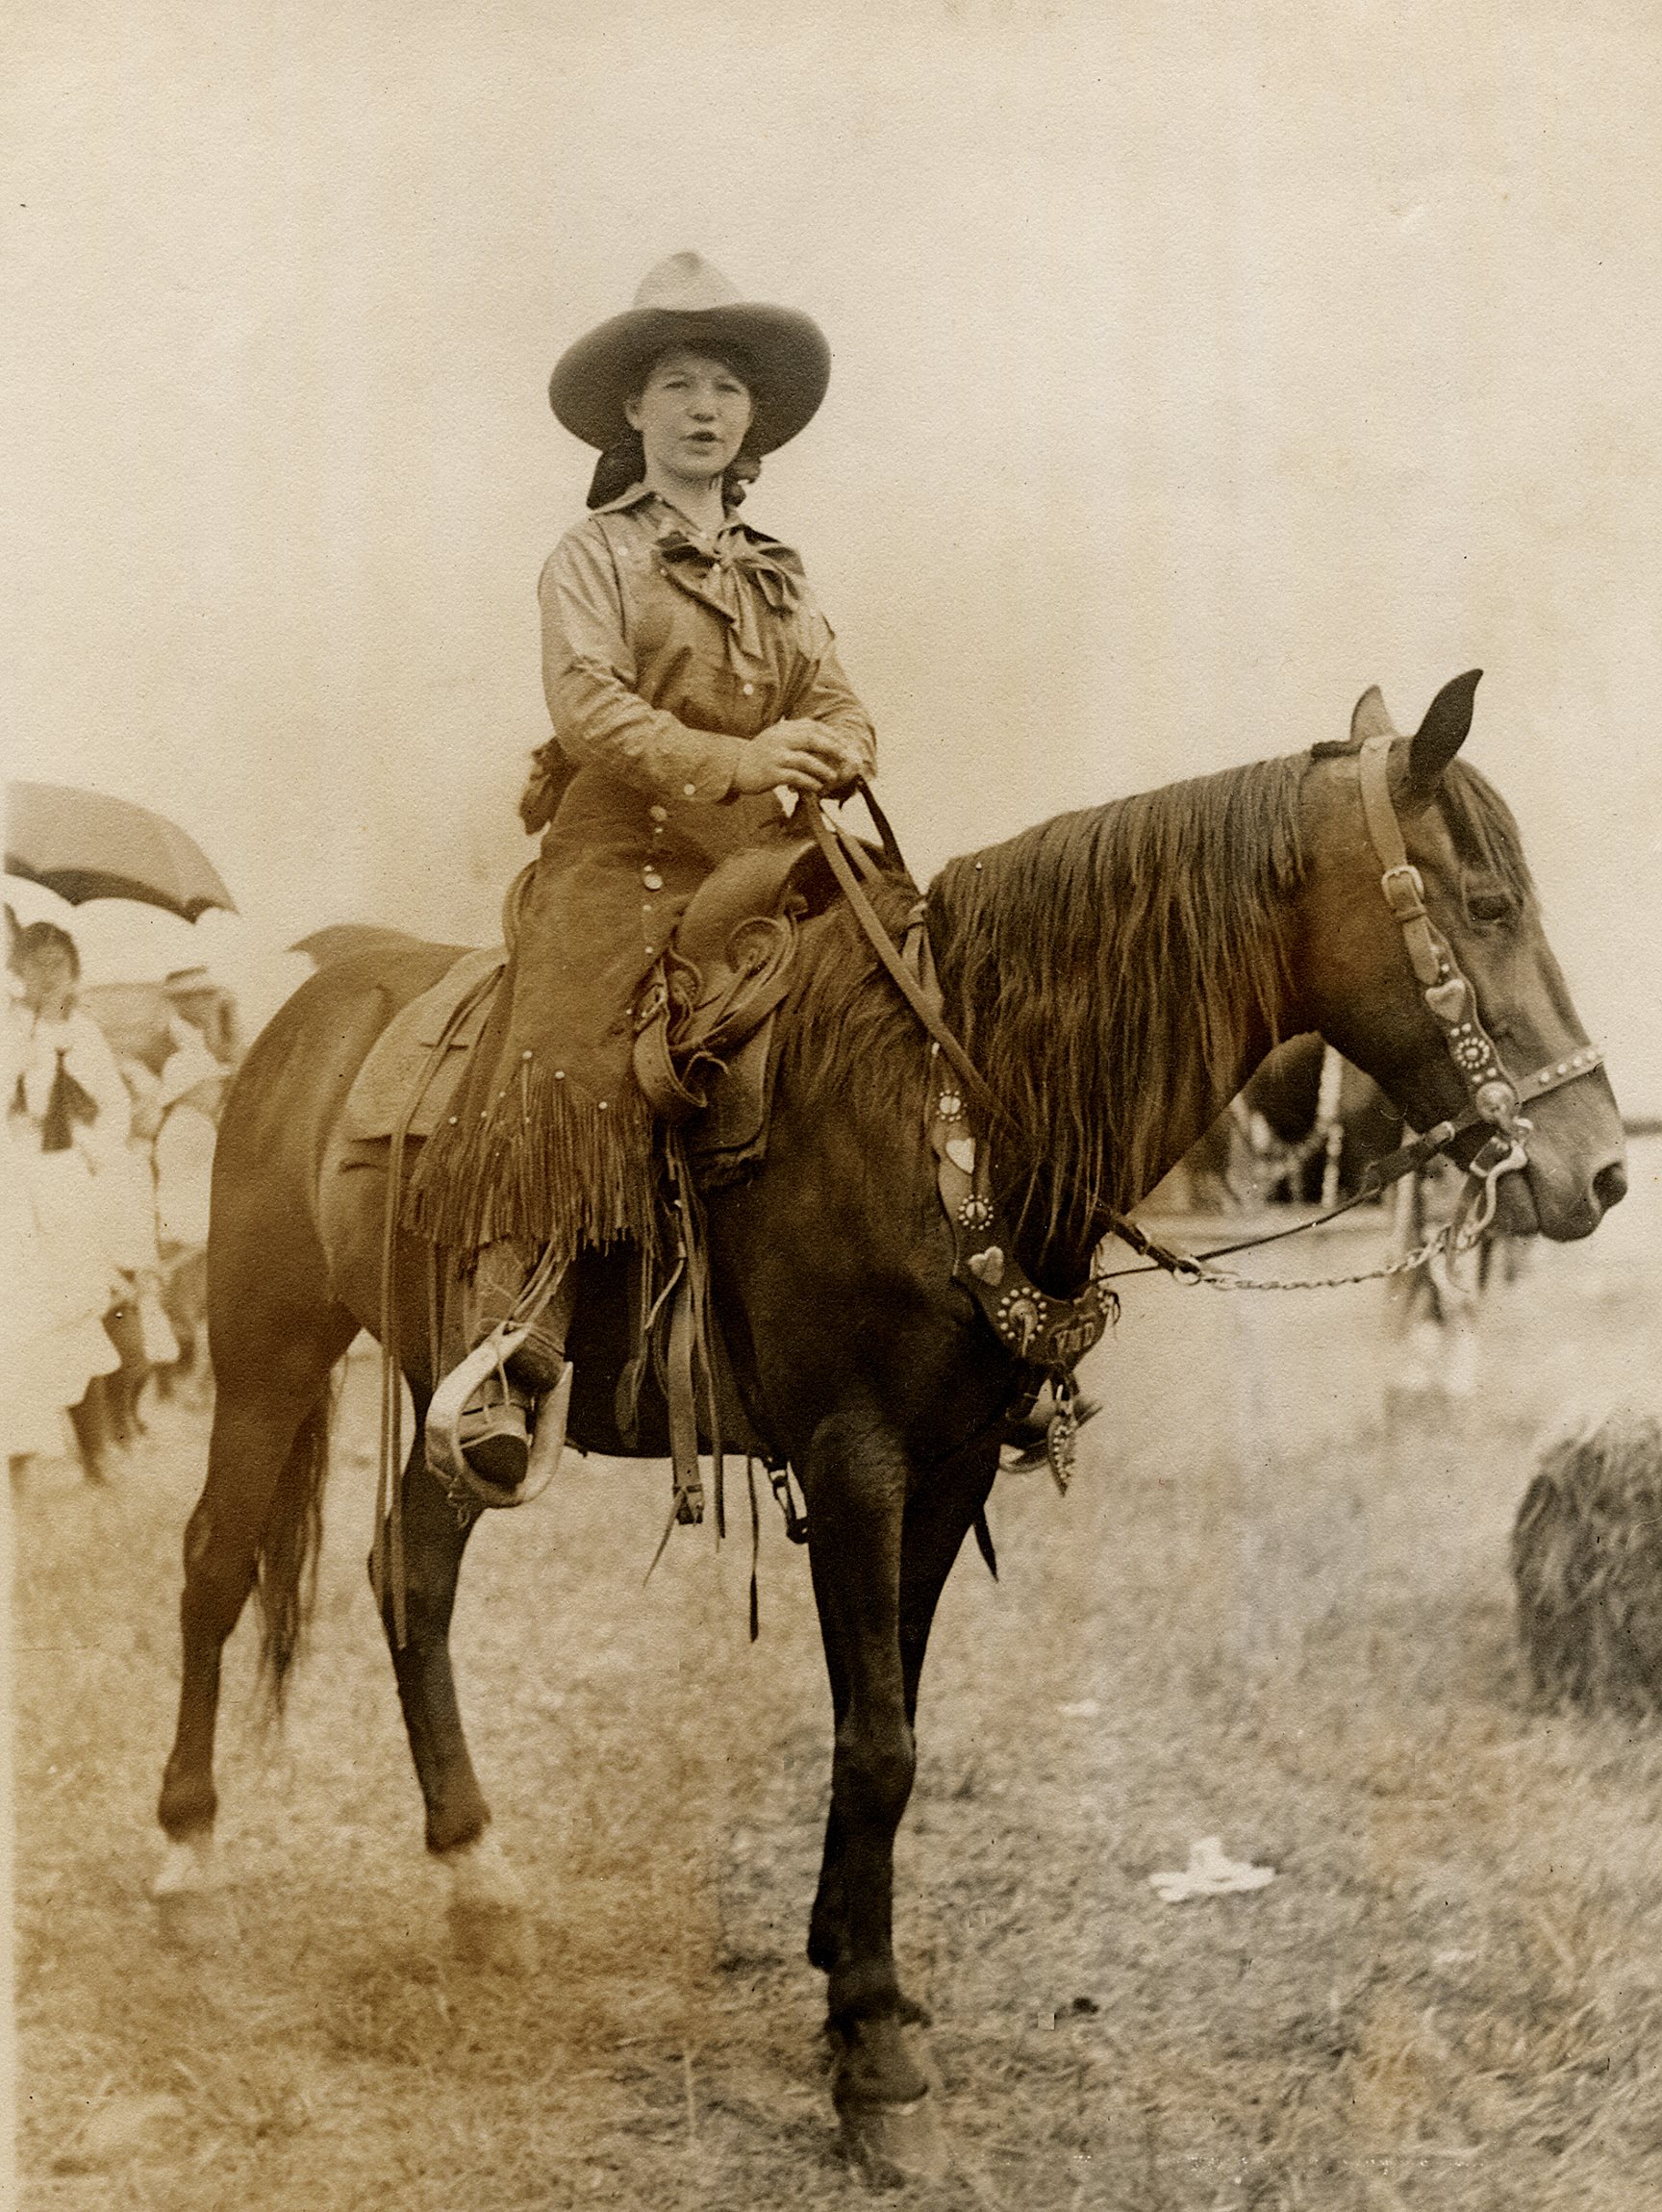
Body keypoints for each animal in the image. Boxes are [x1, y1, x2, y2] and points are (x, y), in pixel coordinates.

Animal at [152, 676, 1628, 2176]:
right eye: (1487, 902)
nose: (1604, 1171)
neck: (946, 1102)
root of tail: (302, 1012)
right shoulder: (855, 1460)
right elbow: (879, 1744)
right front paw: (873, 2051)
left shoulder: (948, 1463)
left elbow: (887, 1713)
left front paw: (850, 1972)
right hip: (266, 1351)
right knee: (217, 1566)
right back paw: (187, 1864)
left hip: (454, 1406)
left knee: (412, 1576)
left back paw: (477, 1881)